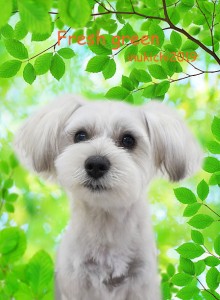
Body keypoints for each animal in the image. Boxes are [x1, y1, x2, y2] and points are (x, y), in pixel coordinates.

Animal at [14, 96, 202, 300]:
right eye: (80, 136)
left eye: (128, 140)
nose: (96, 164)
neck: (105, 224)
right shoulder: (75, 283)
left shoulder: (141, 283)